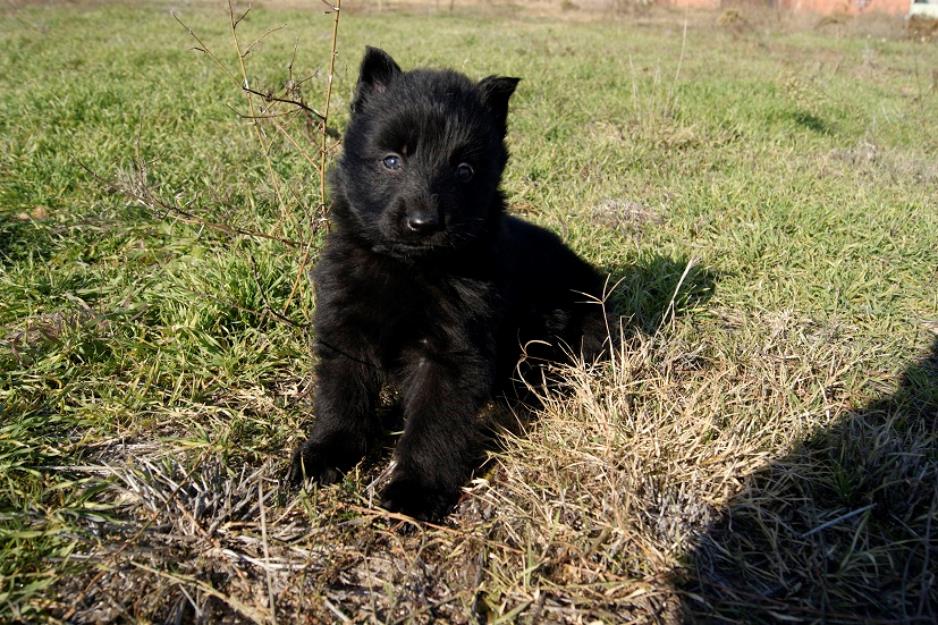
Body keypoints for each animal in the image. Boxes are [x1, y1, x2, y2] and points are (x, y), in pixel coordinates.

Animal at [292, 48, 608, 520]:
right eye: (392, 160)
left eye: (464, 170)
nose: (423, 224)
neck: (409, 270)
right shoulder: (346, 330)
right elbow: (340, 397)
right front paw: (326, 453)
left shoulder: (450, 354)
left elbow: (433, 426)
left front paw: (415, 490)